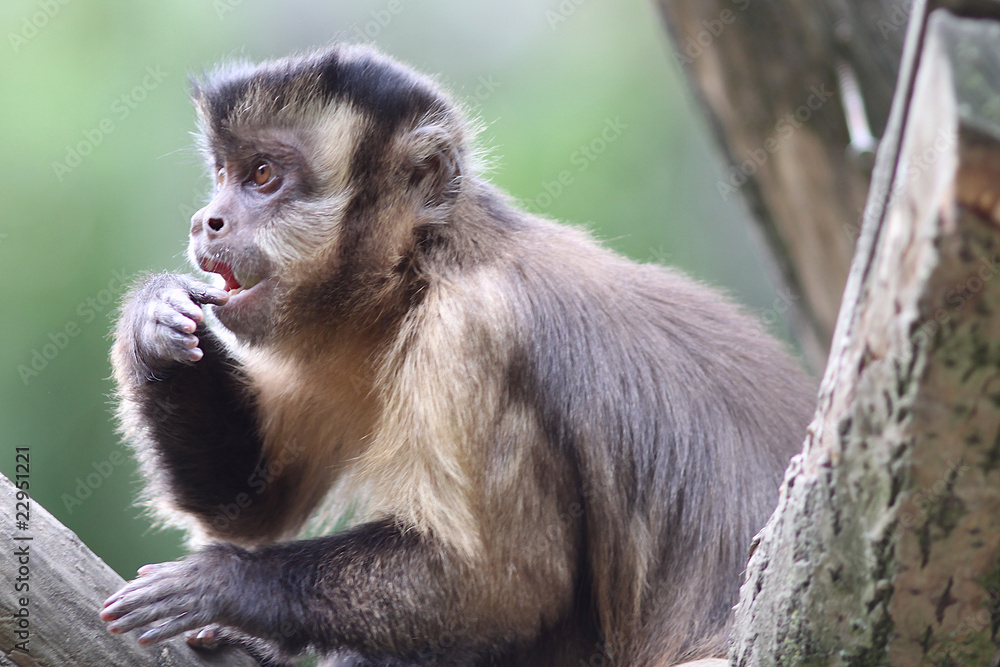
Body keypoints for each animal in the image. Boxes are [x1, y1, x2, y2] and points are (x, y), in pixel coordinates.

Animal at [99, 44, 814, 667]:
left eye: (263, 176)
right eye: (224, 175)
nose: (207, 219)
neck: (422, 269)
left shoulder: (471, 334)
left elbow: (507, 586)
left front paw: (227, 583)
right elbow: (254, 499)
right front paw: (153, 323)